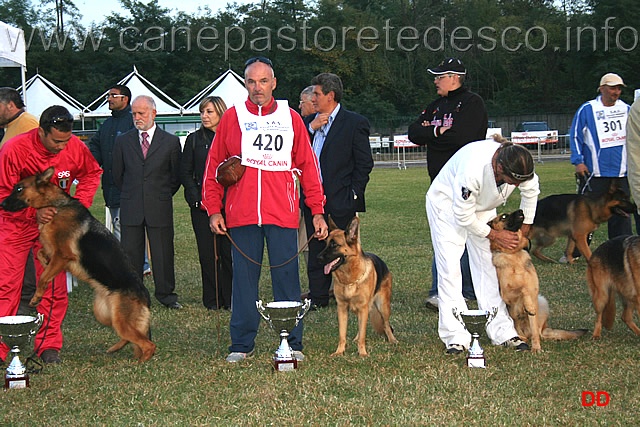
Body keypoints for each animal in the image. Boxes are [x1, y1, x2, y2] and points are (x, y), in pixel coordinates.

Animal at [1, 167, 156, 362]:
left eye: (19, 189)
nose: (2, 205)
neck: (56, 207)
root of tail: (145, 295)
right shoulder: (54, 253)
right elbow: (40, 253)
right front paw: (44, 262)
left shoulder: (63, 255)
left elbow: (43, 277)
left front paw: (37, 297)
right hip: (105, 315)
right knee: (133, 338)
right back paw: (117, 349)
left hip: (120, 321)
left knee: (148, 344)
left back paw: (141, 362)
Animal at [318, 217, 398, 358]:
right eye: (326, 244)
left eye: (334, 245)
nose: (318, 258)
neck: (349, 279)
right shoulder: (342, 308)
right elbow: (342, 334)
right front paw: (339, 351)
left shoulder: (363, 308)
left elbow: (363, 334)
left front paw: (362, 353)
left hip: (383, 306)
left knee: (386, 324)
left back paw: (392, 339)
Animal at [490, 209, 592, 352]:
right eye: (503, 216)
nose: (521, 210)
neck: (514, 255)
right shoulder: (506, 293)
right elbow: (521, 288)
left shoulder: (533, 289)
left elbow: (526, 289)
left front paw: (528, 306)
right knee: (522, 332)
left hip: (541, 302)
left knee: (536, 333)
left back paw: (536, 347)